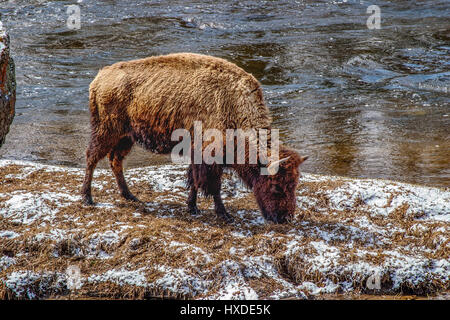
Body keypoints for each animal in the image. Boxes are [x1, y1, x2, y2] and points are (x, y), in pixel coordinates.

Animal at [81, 53, 306, 222]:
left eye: (294, 184)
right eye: (276, 185)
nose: (285, 218)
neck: (232, 103)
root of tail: (100, 77)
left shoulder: (200, 156)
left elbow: (195, 181)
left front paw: (192, 207)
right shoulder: (209, 157)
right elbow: (212, 186)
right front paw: (223, 214)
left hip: (126, 137)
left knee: (114, 161)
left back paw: (130, 196)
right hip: (107, 132)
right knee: (92, 157)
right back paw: (87, 198)